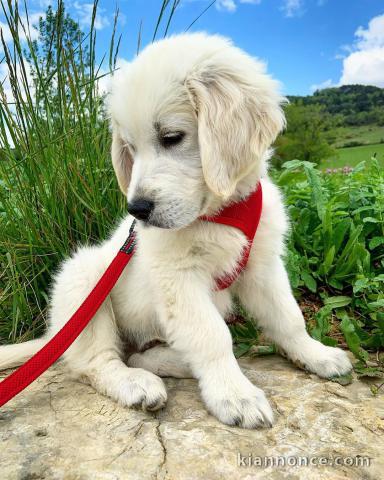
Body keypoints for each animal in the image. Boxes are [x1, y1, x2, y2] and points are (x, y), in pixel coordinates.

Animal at [0, 34, 352, 432]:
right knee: (97, 362)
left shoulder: (263, 266)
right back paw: (134, 383)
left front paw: (316, 354)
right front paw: (235, 394)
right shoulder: (178, 279)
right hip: (84, 282)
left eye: (172, 137)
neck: (220, 213)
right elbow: (211, 336)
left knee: (139, 355)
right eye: (130, 148)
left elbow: (288, 318)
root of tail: (55, 333)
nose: (136, 210)